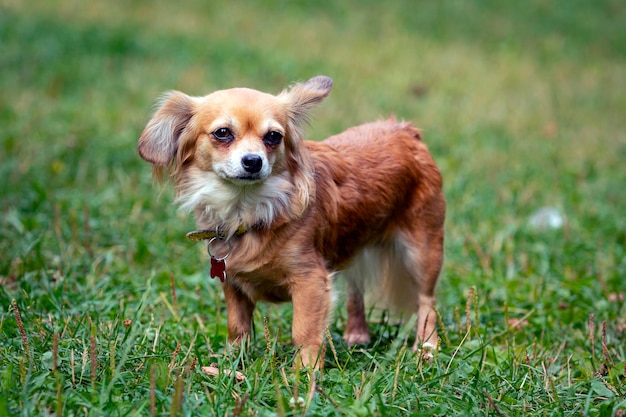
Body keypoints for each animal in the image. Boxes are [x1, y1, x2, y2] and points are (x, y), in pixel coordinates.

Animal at [139, 76, 446, 366]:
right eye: (223, 133)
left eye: (274, 136)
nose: (253, 161)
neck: (249, 210)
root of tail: (405, 129)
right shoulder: (233, 283)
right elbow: (238, 327)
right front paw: (232, 362)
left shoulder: (311, 281)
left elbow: (305, 331)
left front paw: (305, 373)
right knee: (355, 289)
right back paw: (357, 334)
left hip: (420, 251)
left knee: (426, 301)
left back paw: (426, 348)